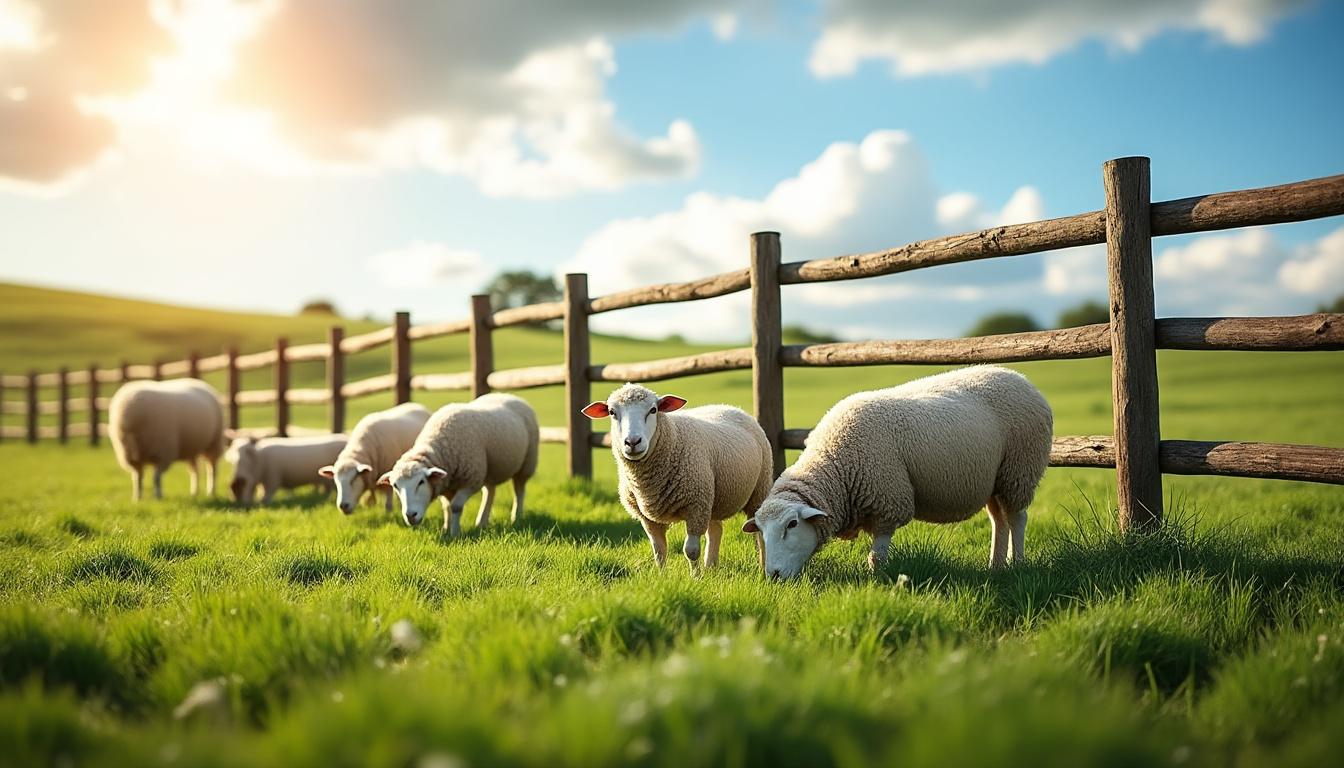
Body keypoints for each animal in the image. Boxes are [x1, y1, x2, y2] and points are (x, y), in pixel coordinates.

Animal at [378, 393, 539, 535]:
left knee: (519, 490)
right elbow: (446, 507)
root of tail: (509, 395)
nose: (411, 516)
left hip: (527, 463)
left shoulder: (471, 480)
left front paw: (455, 533)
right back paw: (482, 522)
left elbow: (455, 507)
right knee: (490, 492)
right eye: (395, 486)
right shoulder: (446, 484)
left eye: (421, 482)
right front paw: (446, 529)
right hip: (489, 468)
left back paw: (516, 517)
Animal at [581, 383, 773, 573]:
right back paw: (711, 567)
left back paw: (762, 568)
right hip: (712, 498)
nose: (632, 442)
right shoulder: (648, 519)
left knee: (759, 533)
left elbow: (691, 550)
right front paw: (662, 576)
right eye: (612, 412)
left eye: (653, 410)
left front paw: (695, 577)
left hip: (758, 489)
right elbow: (659, 551)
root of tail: (730, 407)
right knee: (715, 530)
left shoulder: (696, 506)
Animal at [745, 365, 1052, 579]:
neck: (836, 467)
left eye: (792, 525)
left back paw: (1016, 563)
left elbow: (877, 557)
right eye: (760, 529)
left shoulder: (888, 504)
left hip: (1019, 471)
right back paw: (995, 566)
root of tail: (1022, 379)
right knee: (999, 520)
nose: (773, 575)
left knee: (1017, 518)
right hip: (996, 480)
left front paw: (877, 582)